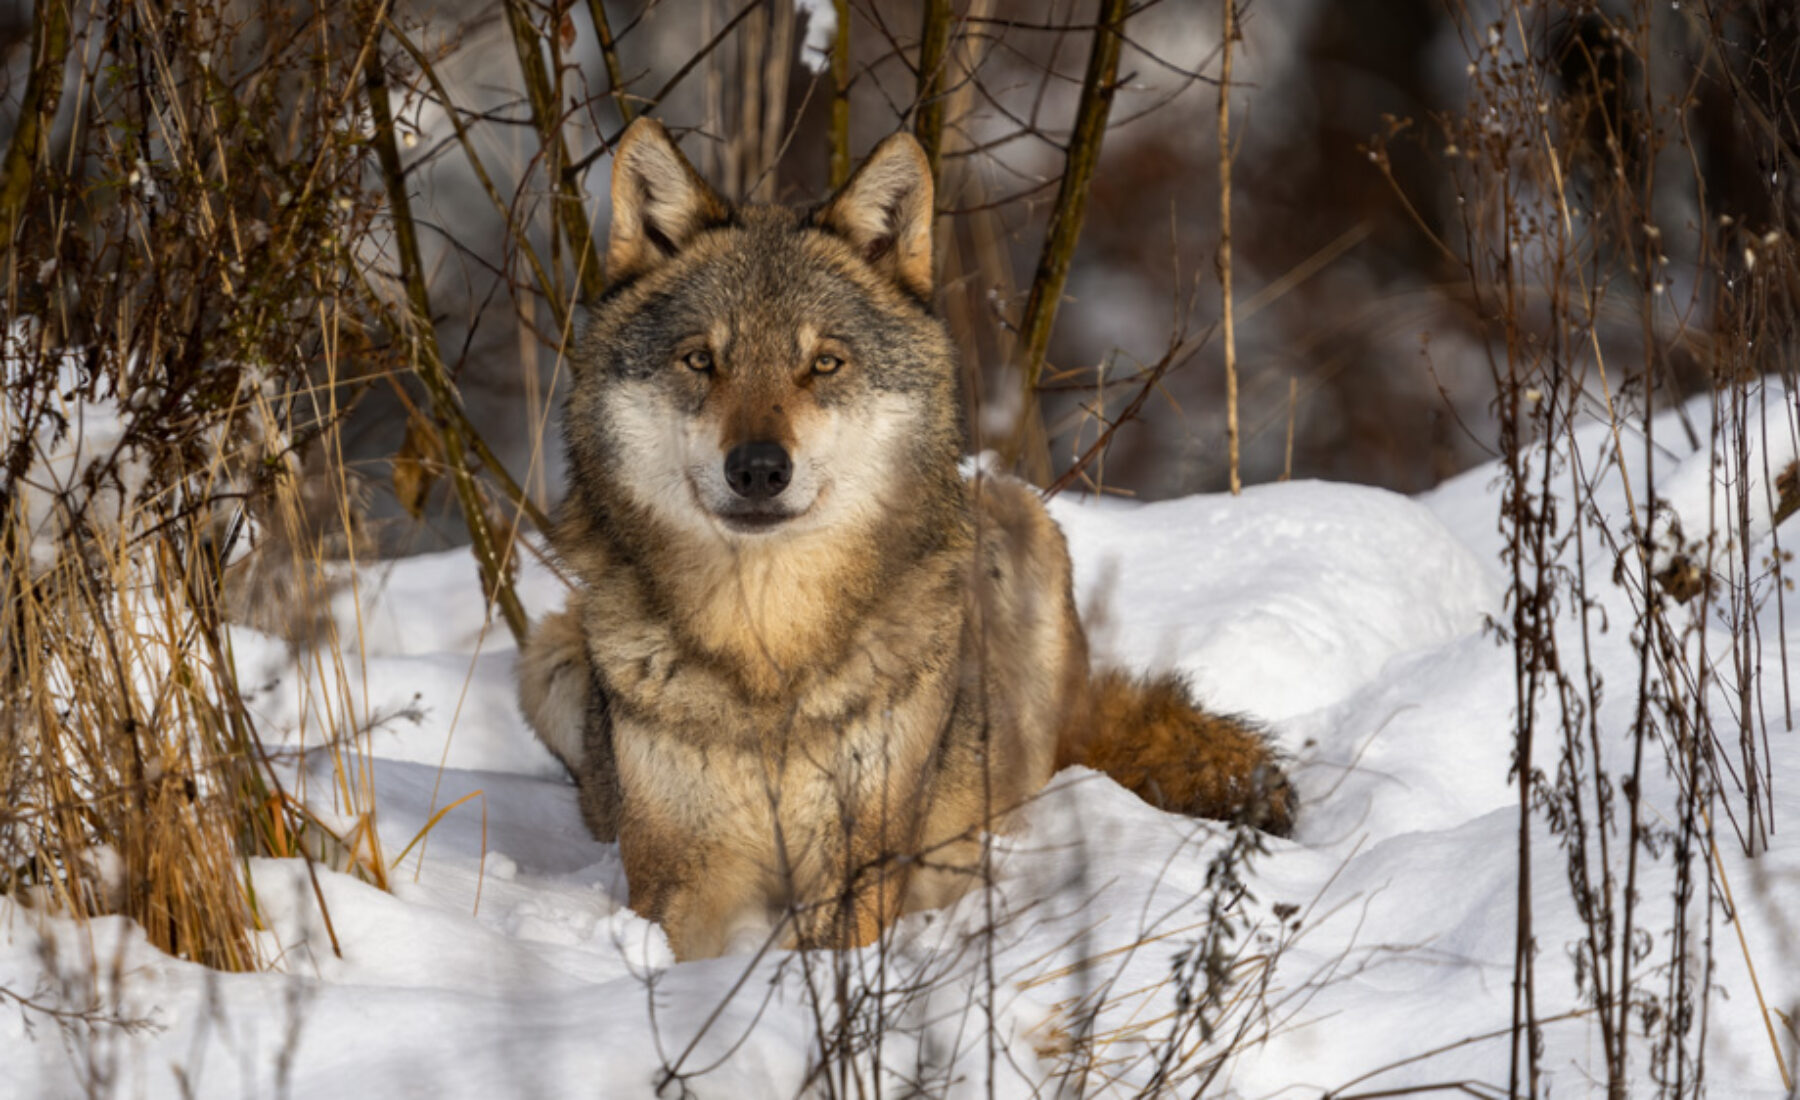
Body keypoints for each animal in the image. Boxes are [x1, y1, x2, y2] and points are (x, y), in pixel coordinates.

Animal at [517, 118, 1293, 961]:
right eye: (701, 359)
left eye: (824, 363)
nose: (758, 469)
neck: (767, 652)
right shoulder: (673, 875)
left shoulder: (860, 858)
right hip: (546, 657)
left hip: (1020, 534)